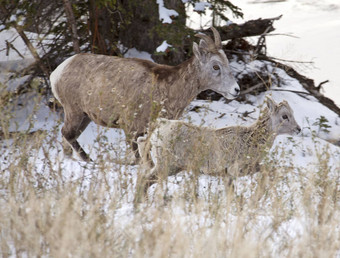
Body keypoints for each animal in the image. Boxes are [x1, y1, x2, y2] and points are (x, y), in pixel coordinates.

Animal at [51, 27, 240, 161]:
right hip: (74, 111)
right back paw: (89, 160)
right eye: (215, 66)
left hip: (85, 116)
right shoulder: (131, 128)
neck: (168, 90)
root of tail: (57, 73)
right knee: (67, 134)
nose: (236, 90)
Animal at [137, 97, 302, 194]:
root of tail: (161, 125)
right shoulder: (237, 170)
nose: (298, 129)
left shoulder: (228, 176)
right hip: (166, 166)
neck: (251, 140)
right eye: (285, 116)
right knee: (144, 180)